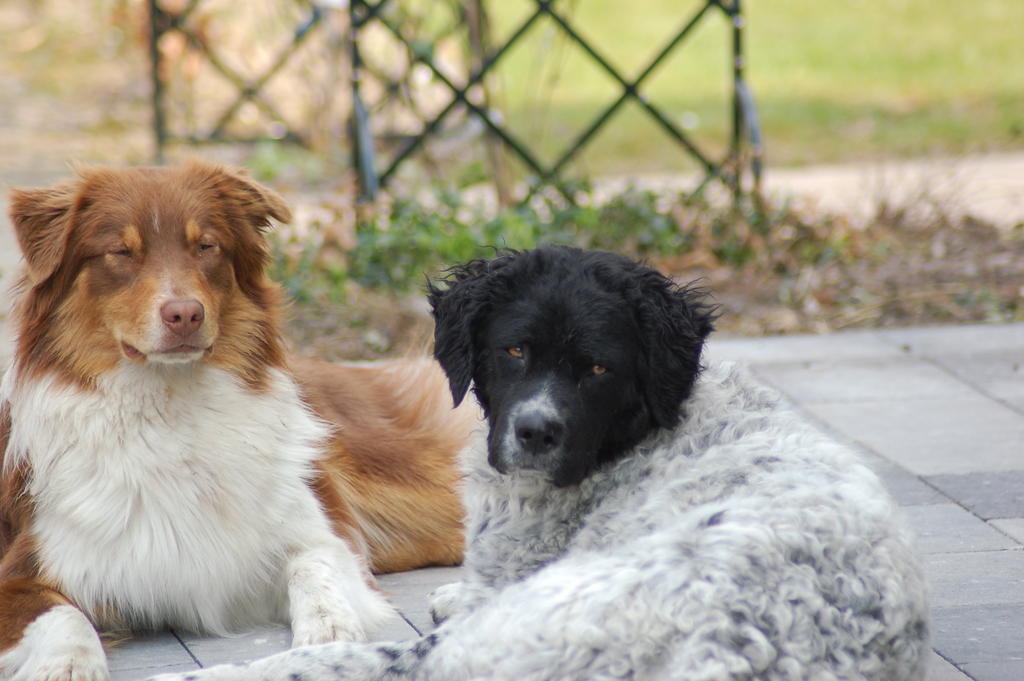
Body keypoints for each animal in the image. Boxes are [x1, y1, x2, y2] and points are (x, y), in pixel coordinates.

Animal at [0, 160, 475, 679]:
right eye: (121, 252)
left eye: (206, 246)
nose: (185, 314)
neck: (170, 407)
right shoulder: (24, 569)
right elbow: (64, 616)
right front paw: (68, 663)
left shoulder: (318, 533)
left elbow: (313, 567)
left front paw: (327, 629)